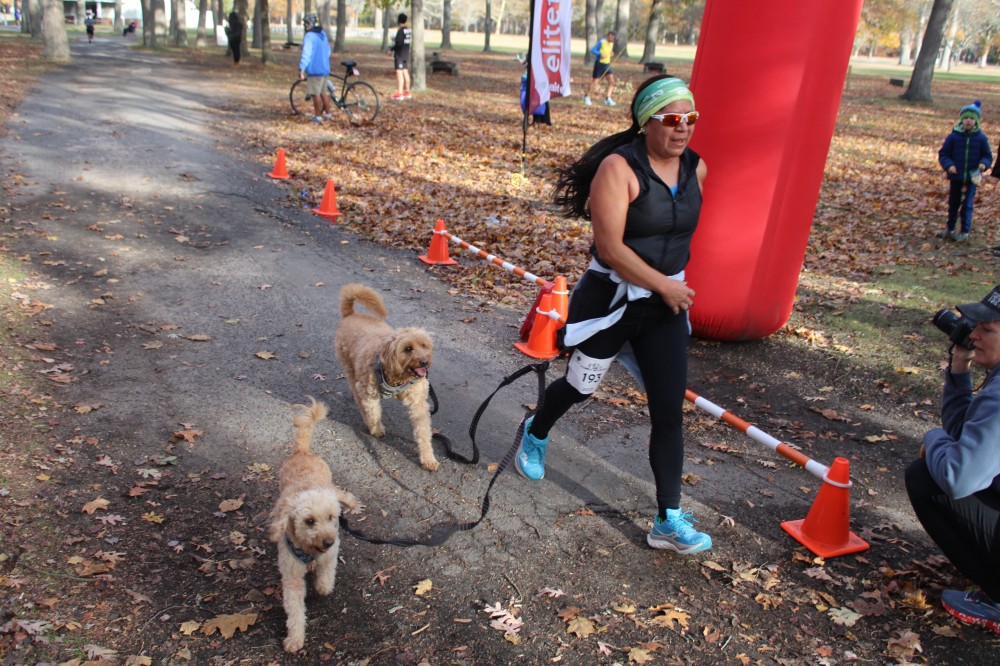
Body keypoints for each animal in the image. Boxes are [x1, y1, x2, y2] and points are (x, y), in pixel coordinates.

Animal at [268, 398, 359, 653]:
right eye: (309, 521)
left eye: (331, 517)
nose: (328, 540)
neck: (309, 551)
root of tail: (303, 451)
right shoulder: (291, 575)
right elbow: (294, 608)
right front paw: (294, 639)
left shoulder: (331, 555)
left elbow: (326, 577)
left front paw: (322, 587)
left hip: (331, 484)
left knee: (342, 493)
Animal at [335, 283, 438, 471]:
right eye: (408, 349)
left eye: (424, 345)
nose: (425, 362)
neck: (398, 376)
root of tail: (351, 315)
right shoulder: (369, 393)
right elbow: (374, 412)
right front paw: (376, 429)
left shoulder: (419, 404)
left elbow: (423, 432)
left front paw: (428, 458)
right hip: (352, 374)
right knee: (359, 400)